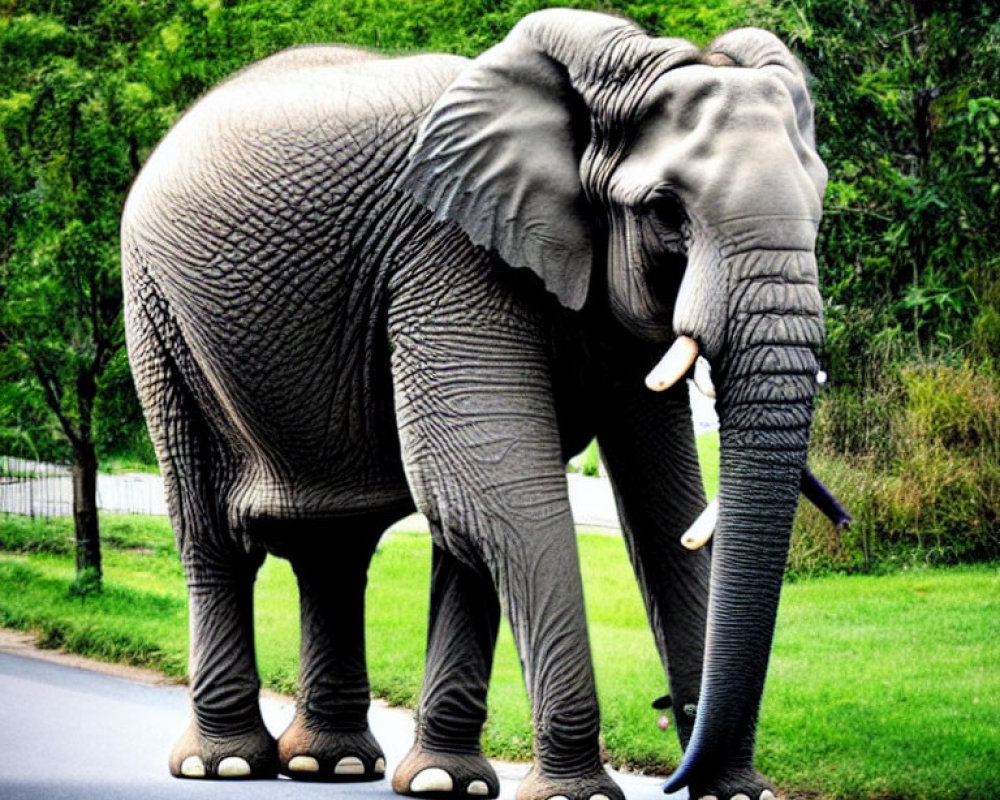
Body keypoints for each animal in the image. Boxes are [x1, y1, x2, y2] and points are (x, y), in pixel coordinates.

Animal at [121, 10, 828, 800]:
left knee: (335, 547)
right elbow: (493, 490)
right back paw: (229, 764)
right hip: (156, 315)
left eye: (820, 206)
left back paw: (331, 765)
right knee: (213, 535)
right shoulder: (447, 253)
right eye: (664, 211)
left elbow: (652, 501)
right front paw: (575, 795)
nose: (673, 751)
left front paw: (736, 793)